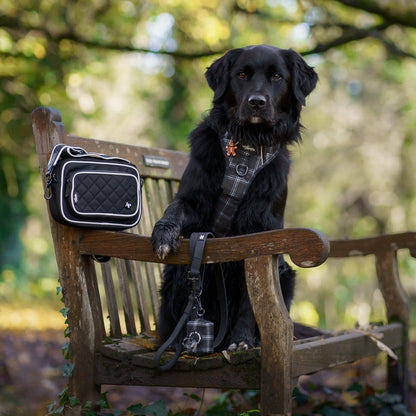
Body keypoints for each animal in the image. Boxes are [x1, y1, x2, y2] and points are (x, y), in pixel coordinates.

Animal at [151, 44, 316, 352]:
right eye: (242, 75)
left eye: (277, 76)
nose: (256, 102)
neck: (247, 151)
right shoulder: (193, 202)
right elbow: (175, 208)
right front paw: (164, 234)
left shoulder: (263, 231)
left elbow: (251, 301)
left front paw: (241, 340)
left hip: (285, 272)